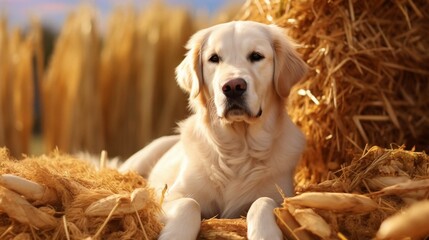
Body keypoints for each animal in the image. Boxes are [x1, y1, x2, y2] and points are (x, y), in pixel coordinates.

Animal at [120, 21, 306, 240]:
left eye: (256, 56)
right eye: (214, 58)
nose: (233, 86)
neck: (238, 150)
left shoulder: (281, 196)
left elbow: (263, 201)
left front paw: (264, 233)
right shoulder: (168, 197)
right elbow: (190, 204)